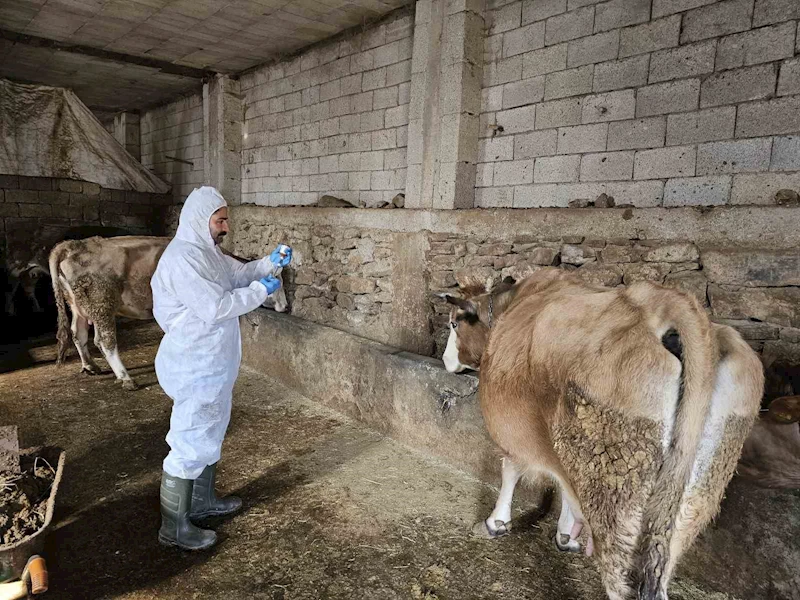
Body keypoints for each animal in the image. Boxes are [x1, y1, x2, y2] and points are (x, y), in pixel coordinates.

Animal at [50, 234, 288, 390]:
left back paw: (90, 365)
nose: (286, 306)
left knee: (78, 333)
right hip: (102, 304)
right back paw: (125, 378)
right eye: (278, 281)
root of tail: (74, 245)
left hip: (79, 305)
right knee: (104, 341)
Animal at [444, 270, 764, 600]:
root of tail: (658, 301)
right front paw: (567, 534)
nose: (445, 360)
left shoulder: (515, 430)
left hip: (613, 488)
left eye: (453, 323)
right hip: (693, 497)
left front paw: (495, 523)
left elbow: (511, 470)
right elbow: (565, 487)